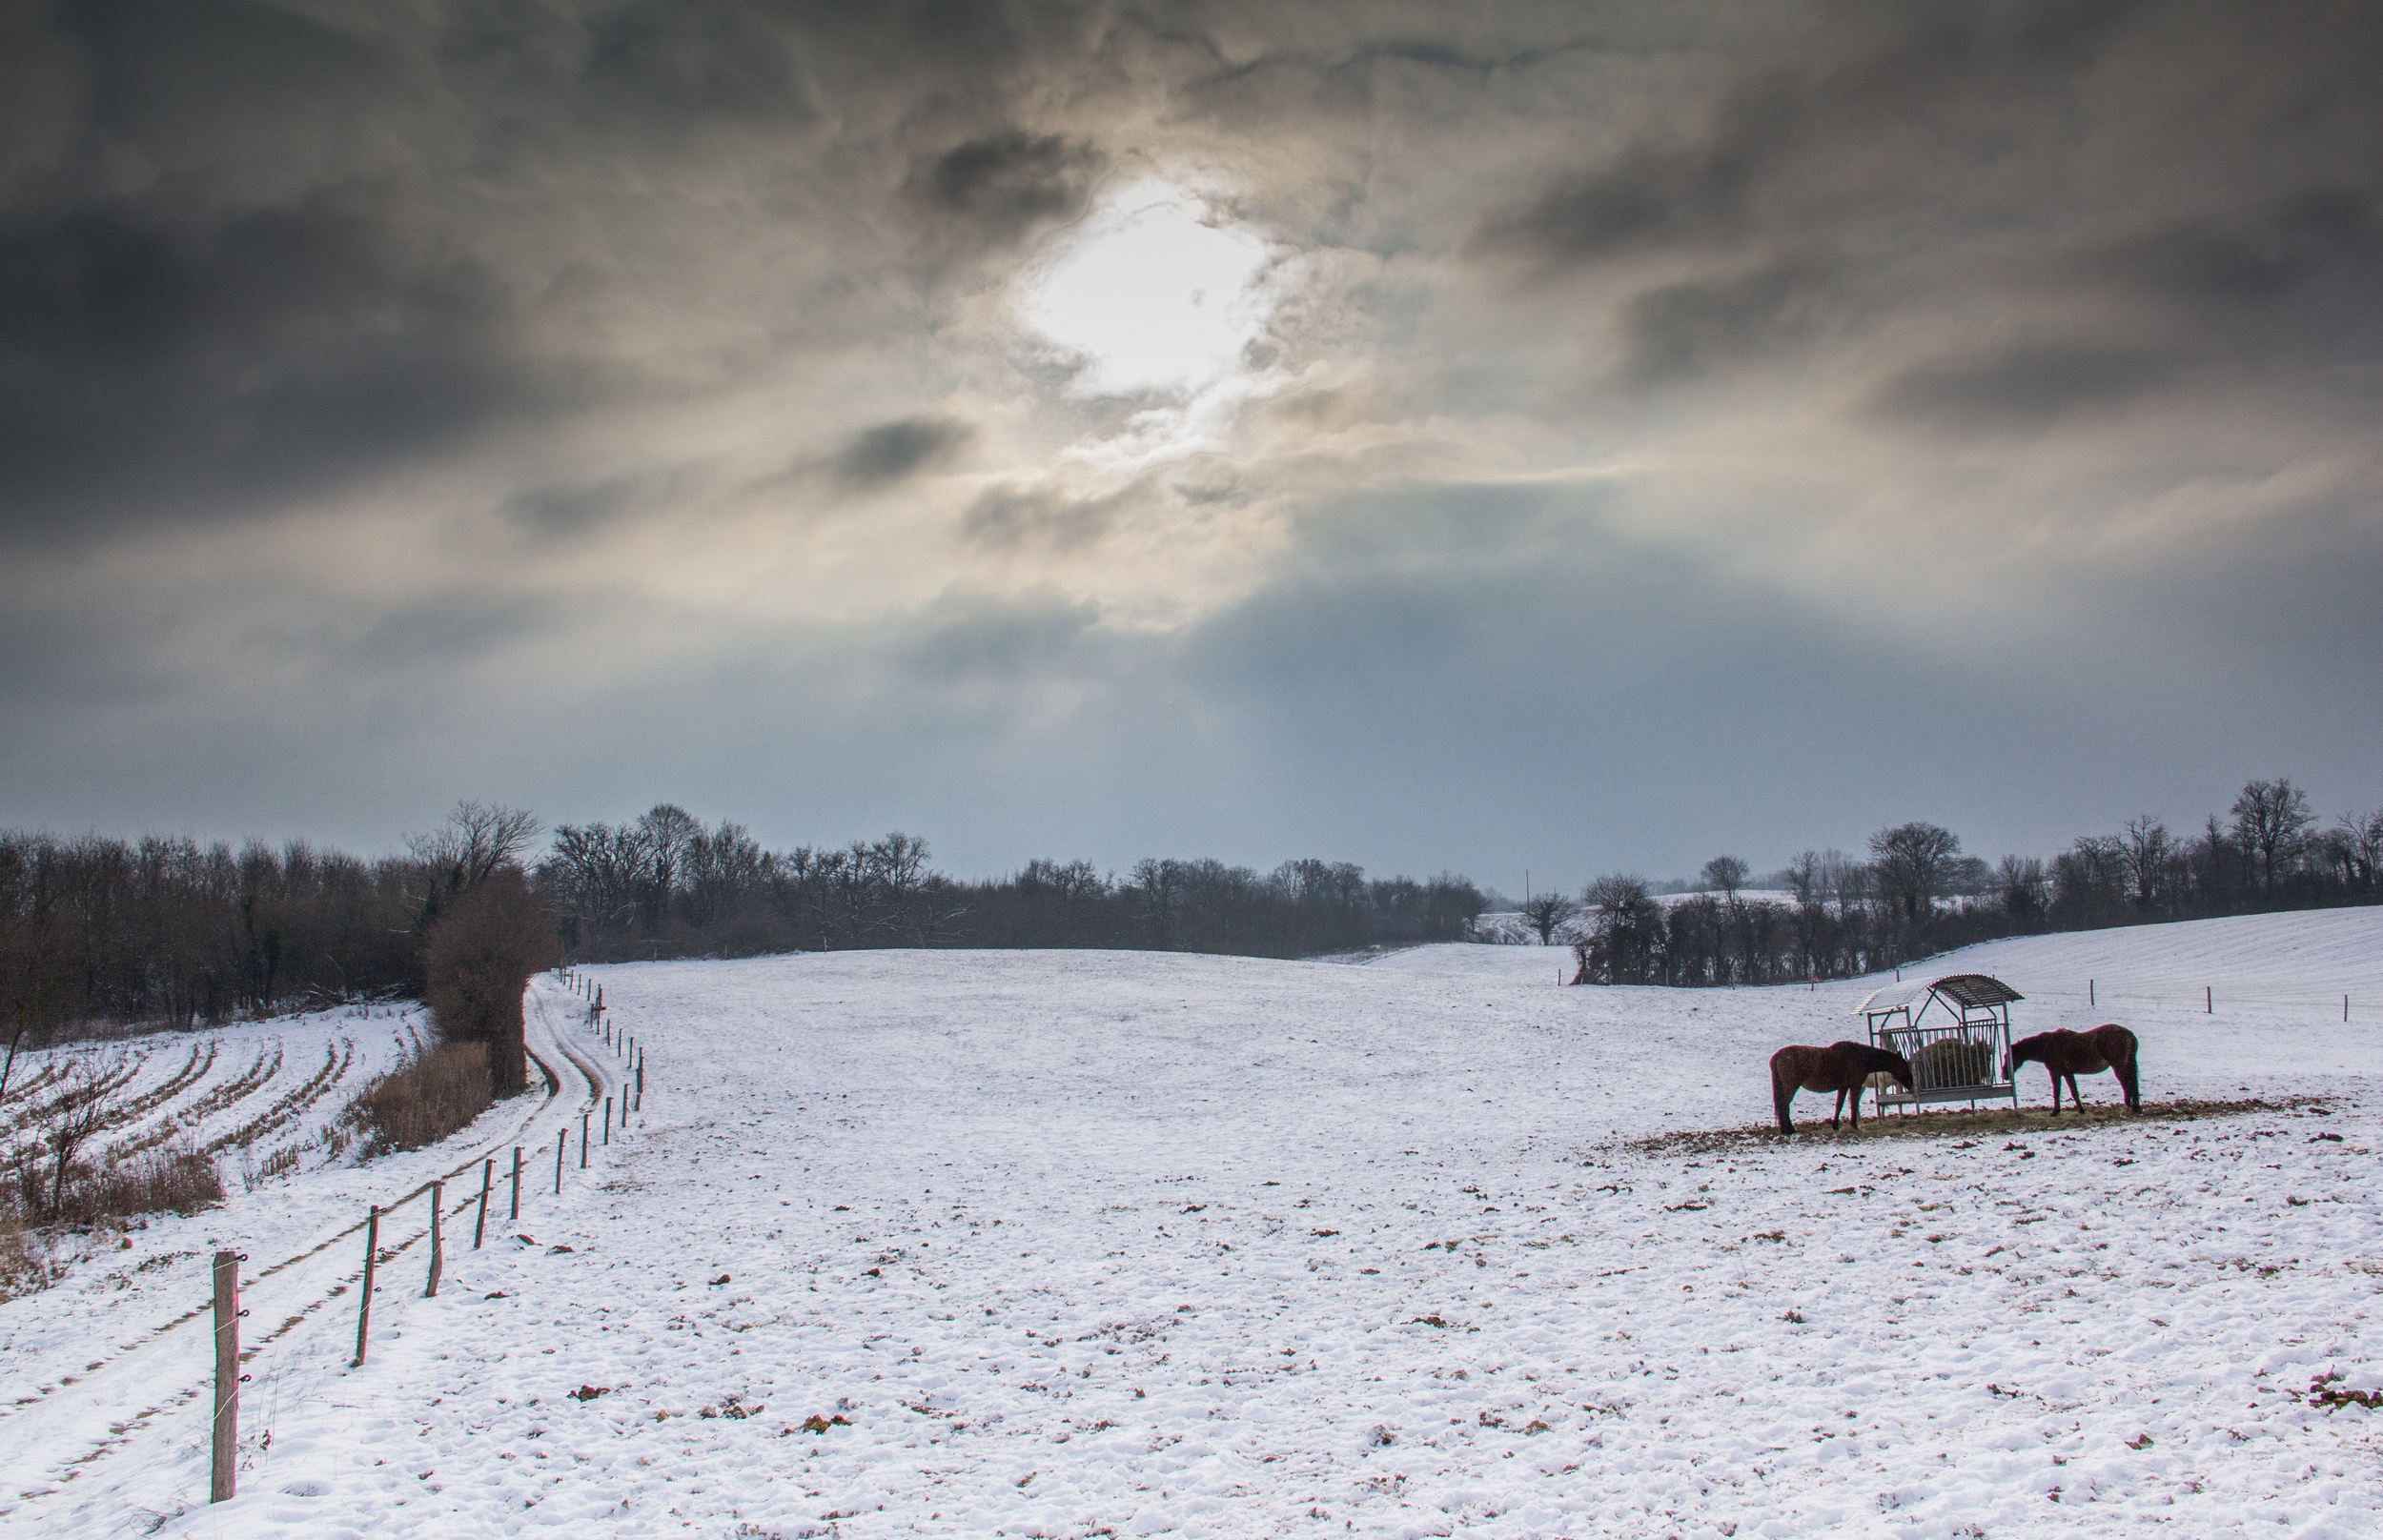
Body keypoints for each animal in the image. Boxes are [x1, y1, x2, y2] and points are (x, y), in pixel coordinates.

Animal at [1773, 1044, 1916, 1139]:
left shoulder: (1843, 1087)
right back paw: (1788, 1130)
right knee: (1784, 1105)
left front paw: (1835, 1126)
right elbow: (1853, 1104)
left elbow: (1839, 1105)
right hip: (1791, 1086)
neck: (1861, 1057)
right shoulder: (1855, 1086)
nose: (1911, 1084)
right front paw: (1854, 1125)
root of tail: (1779, 1055)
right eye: (1904, 1066)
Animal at [2011, 1029, 2145, 1115]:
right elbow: (2074, 1091)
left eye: (2010, 1056)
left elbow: (2057, 1091)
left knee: (2126, 1085)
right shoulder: (2067, 1073)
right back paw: (2134, 1108)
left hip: (2119, 1067)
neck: (2048, 1045)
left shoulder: (2056, 1072)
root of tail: (2129, 1034)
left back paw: (2127, 1108)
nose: (2006, 1074)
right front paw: (2081, 1110)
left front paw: (2055, 1111)